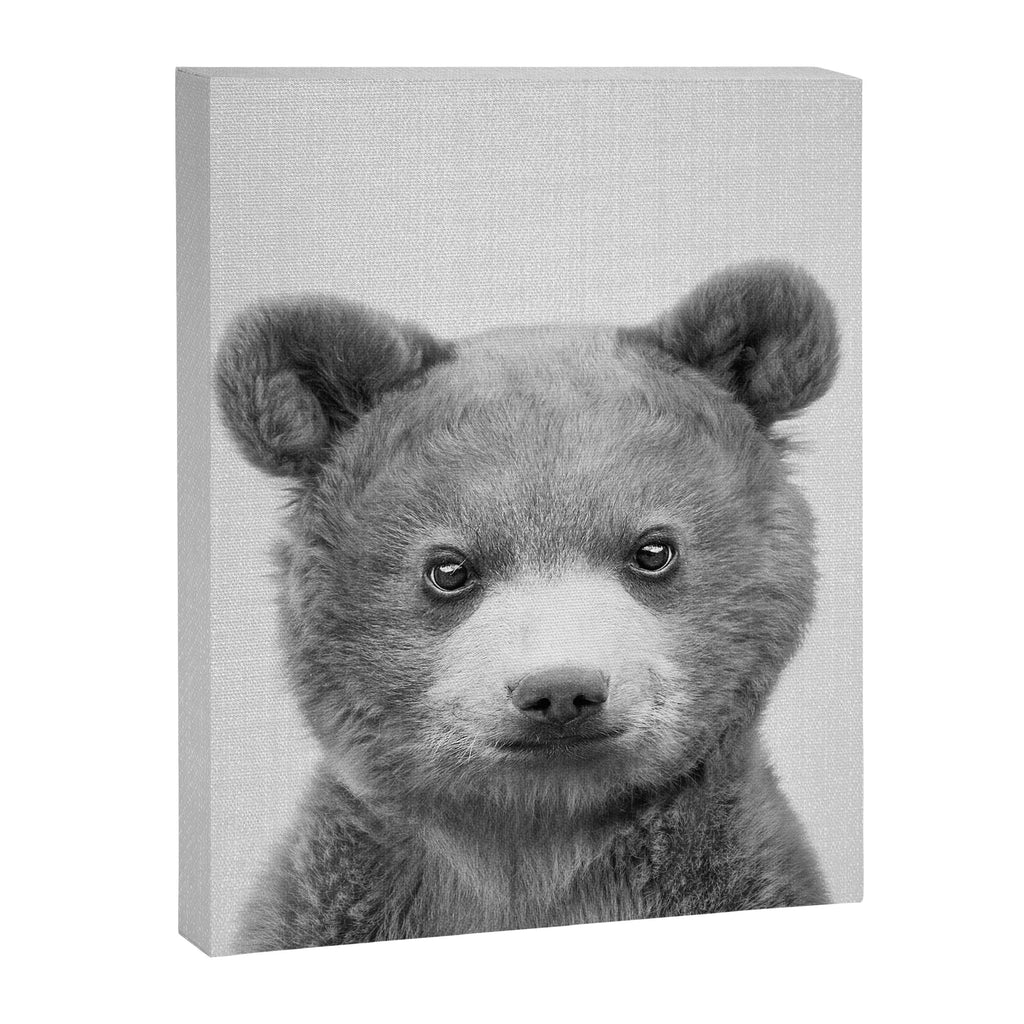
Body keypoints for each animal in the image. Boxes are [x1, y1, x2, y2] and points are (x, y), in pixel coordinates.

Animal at [216, 260, 839, 952]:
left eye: (653, 549)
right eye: (449, 568)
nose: (561, 689)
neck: (537, 836)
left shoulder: (732, 873)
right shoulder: (338, 899)